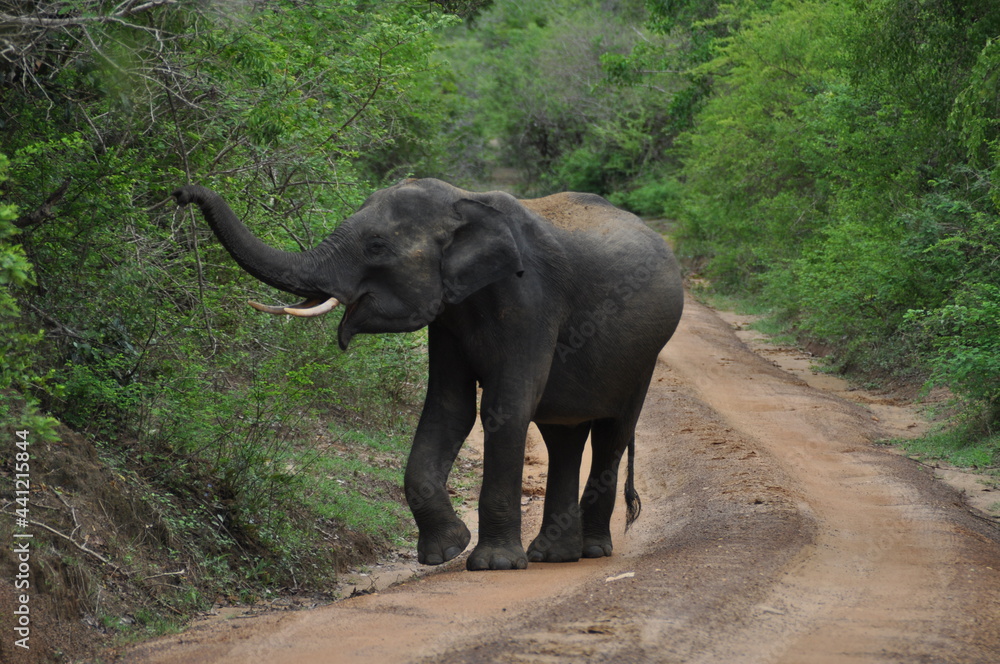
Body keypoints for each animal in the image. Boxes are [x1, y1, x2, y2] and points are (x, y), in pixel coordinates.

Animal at [172, 178, 683, 571]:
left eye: (377, 246)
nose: (180, 192)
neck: (464, 201)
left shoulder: (532, 302)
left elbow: (505, 408)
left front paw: (492, 565)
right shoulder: (448, 315)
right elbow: (448, 408)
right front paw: (445, 552)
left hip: (645, 356)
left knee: (612, 435)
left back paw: (590, 552)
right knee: (563, 435)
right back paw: (552, 556)